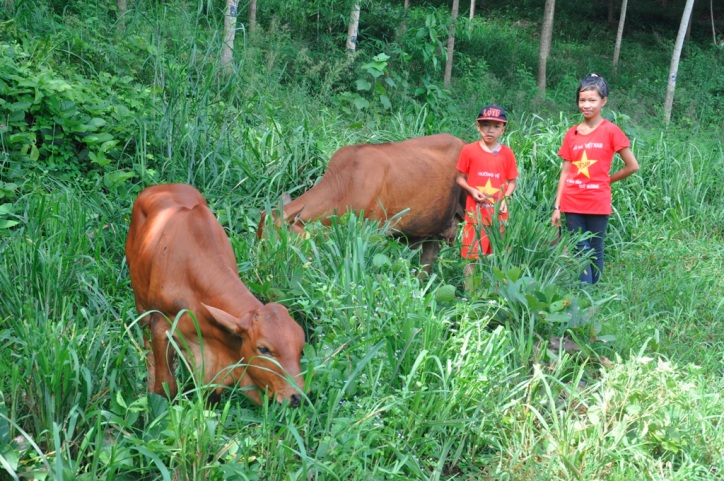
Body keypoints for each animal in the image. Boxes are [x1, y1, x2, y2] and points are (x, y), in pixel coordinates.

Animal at [126, 183, 304, 404]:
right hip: (141, 304)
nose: (297, 397)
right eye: (264, 349)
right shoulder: (160, 325)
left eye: (301, 347)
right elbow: (165, 385)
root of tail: (160, 187)